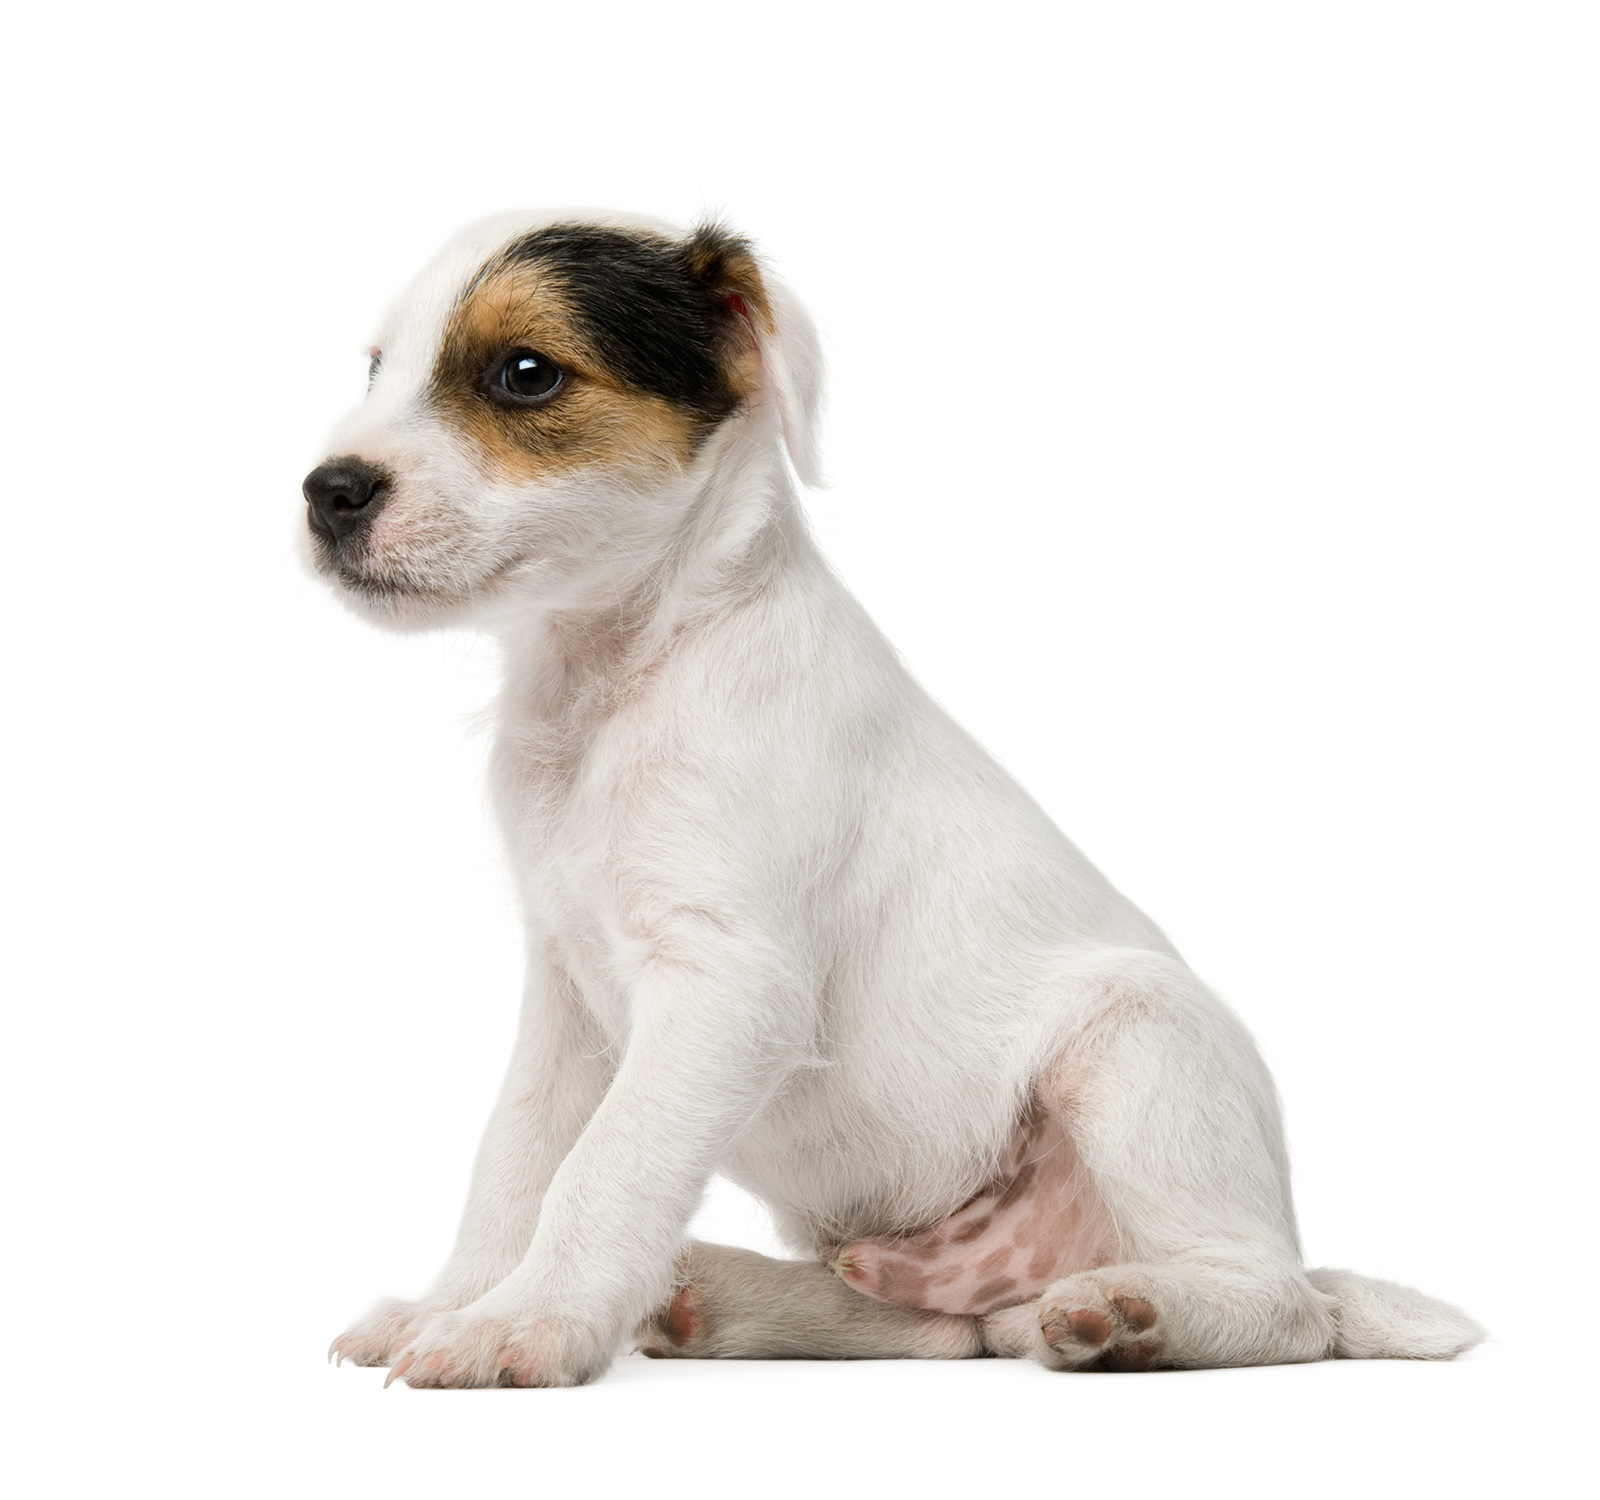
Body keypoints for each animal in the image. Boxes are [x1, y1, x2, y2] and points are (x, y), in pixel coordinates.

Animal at [308, 210, 1482, 1387]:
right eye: (377, 367)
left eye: (524, 374)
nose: (326, 492)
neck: (624, 673)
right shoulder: (569, 999)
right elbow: (518, 1157)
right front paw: (452, 1303)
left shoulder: (725, 985)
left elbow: (603, 1167)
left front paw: (521, 1323)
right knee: (941, 1329)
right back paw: (717, 1298)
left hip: (1139, 1048)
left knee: (1284, 1308)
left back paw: (1133, 1312)